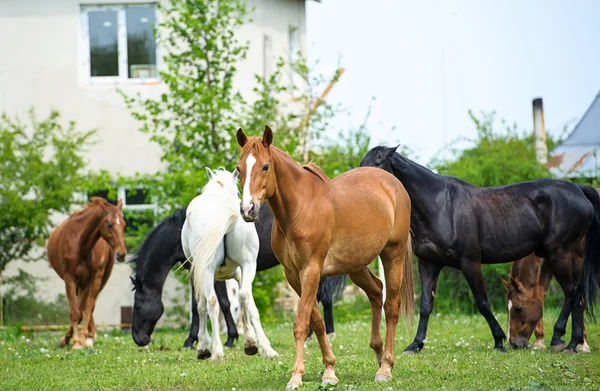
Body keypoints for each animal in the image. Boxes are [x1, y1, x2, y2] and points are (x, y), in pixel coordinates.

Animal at [48, 198, 126, 350]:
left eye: (124, 224)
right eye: (109, 224)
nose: (122, 254)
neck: (80, 244)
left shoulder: (90, 280)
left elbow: (87, 308)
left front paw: (82, 339)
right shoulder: (70, 279)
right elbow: (76, 311)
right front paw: (75, 342)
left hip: (101, 280)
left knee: (88, 305)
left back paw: (88, 337)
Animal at [183, 168, 278, 362]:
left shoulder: (200, 272)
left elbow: (200, 305)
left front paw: (203, 346)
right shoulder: (238, 272)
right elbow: (245, 302)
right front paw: (250, 340)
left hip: (208, 270)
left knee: (212, 302)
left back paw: (217, 351)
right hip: (248, 264)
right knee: (245, 295)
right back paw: (262, 347)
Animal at [237, 127, 414, 390]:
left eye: (266, 166)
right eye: (239, 169)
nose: (247, 209)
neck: (299, 209)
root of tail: (393, 185)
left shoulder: (311, 269)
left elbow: (301, 324)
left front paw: (296, 375)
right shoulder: (294, 275)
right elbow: (317, 321)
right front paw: (329, 370)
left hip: (393, 253)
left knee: (391, 307)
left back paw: (385, 367)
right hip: (356, 265)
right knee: (375, 292)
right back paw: (378, 351)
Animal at [360, 145, 600, 354]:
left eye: (378, 162)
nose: (363, 181)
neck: (440, 206)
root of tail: (579, 190)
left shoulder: (470, 263)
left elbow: (483, 303)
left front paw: (499, 341)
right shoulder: (430, 264)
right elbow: (426, 305)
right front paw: (415, 345)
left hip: (559, 254)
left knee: (572, 292)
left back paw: (561, 339)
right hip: (564, 257)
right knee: (578, 292)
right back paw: (573, 342)